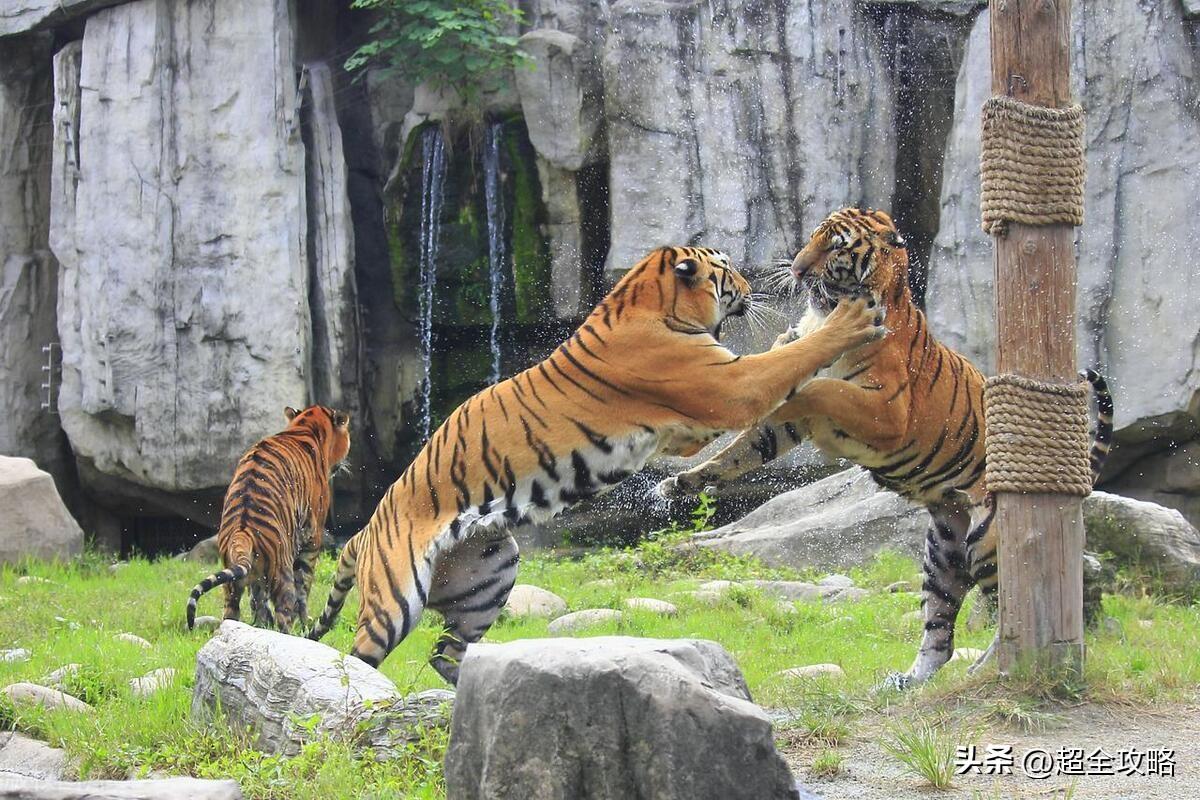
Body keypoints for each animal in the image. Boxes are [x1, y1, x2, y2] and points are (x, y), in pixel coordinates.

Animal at [184, 410, 350, 633]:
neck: (305, 426)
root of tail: (242, 529)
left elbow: (259, 600)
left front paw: (263, 623)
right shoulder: (313, 537)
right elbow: (304, 586)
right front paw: (305, 622)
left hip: (233, 582)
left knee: (232, 612)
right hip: (282, 570)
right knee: (285, 611)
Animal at [307, 244, 892, 681]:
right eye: (727, 271)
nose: (751, 289)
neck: (654, 300)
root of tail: (366, 529)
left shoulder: (691, 428)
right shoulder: (728, 387)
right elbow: (790, 360)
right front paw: (851, 319)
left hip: (493, 572)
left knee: (442, 652)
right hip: (395, 597)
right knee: (360, 657)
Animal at [652, 208, 1108, 690]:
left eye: (835, 247)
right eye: (813, 237)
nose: (796, 269)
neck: (827, 315)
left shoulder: (886, 412)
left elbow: (823, 389)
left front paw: (789, 373)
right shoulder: (787, 428)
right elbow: (742, 451)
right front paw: (679, 484)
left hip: (989, 543)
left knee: (1010, 617)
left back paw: (987, 670)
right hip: (941, 556)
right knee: (939, 633)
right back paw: (904, 682)